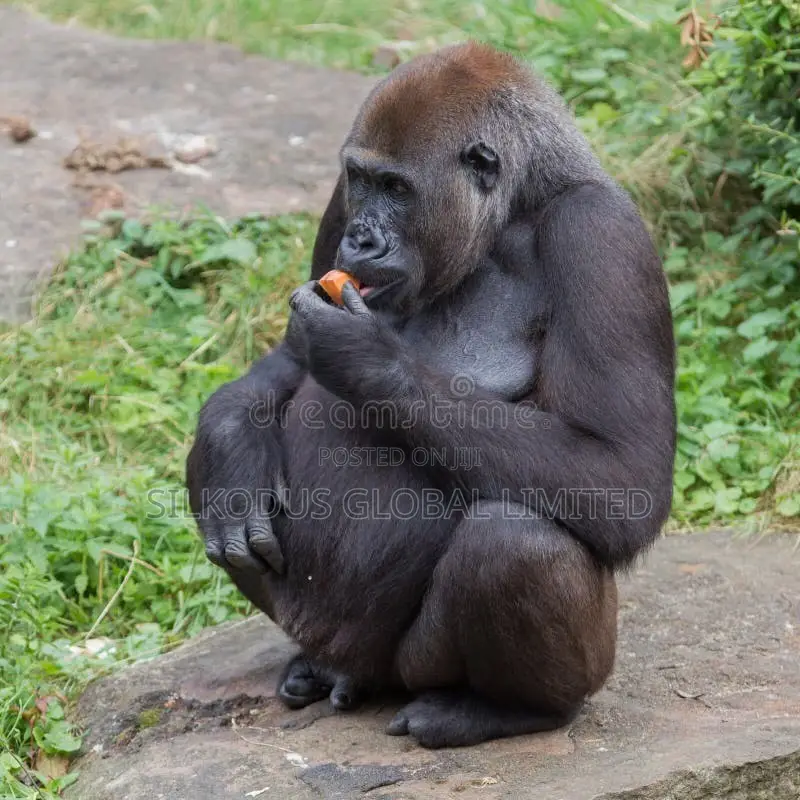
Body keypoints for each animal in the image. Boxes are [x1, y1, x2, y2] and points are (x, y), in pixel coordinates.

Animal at [186, 41, 676, 749]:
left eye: (398, 189)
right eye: (363, 181)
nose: (360, 238)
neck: (510, 213)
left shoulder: (601, 236)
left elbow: (622, 473)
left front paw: (365, 359)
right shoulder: (337, 200)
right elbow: (286, 363)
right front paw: (230, 451)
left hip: (418, 668)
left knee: (514, 544)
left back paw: (512, 710)